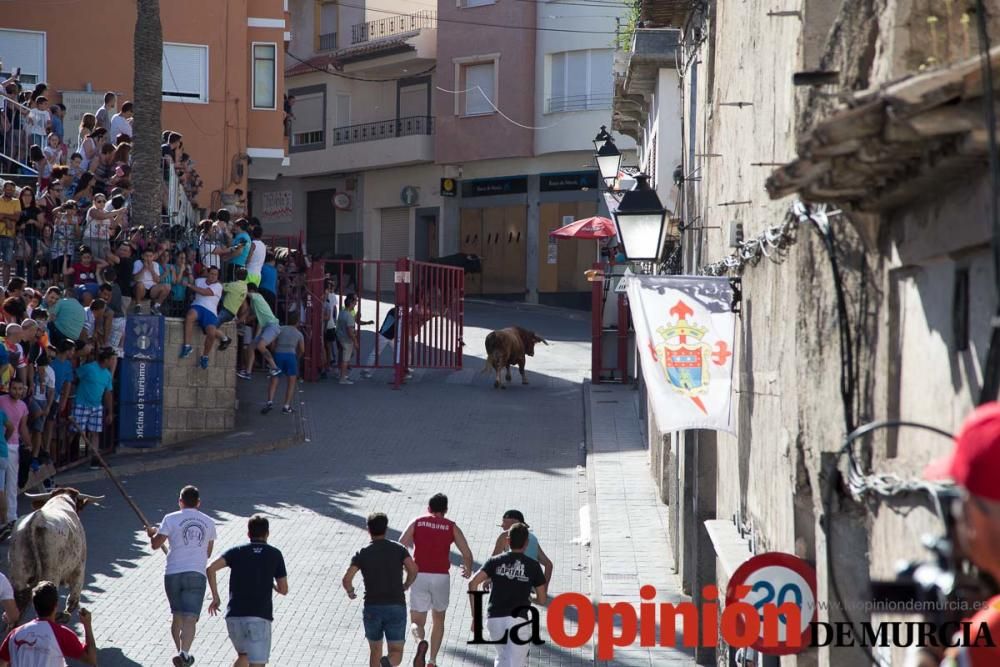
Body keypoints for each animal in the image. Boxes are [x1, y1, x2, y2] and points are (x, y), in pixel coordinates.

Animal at [8, 488, 103, 624]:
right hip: (51, 574)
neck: (61, 500)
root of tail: (36, 521)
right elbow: (73, 599)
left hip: (18, 576)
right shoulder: (79, 568)